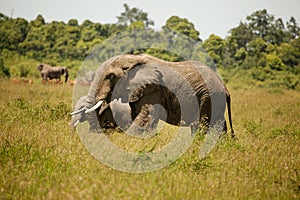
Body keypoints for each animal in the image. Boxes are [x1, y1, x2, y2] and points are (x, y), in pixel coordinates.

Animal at [85, 54, 236, 138]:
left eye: (110, 76)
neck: (133, 60)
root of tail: (224, 87)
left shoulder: (152, 90)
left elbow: (145, 118)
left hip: (209, 97)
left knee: (204, 124)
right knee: (218, 124)